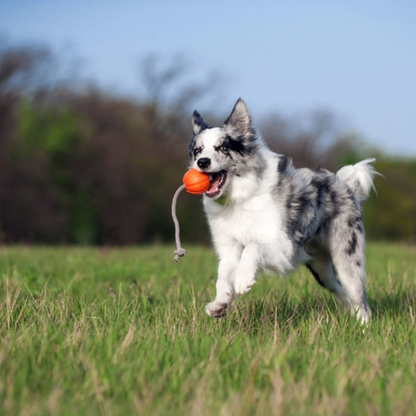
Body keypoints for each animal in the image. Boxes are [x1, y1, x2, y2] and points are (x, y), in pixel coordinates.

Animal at [190, 99, 378, 324]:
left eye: (223, 147)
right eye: (198, 150)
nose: (202, 162)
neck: (238, 199)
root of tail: (347, 187)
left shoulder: (283, 247)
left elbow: (252, 247)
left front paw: (243, 279)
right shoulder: (229, 249)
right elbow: (223, 277)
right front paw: (220, 303)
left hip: (347, 260)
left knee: (360, 300)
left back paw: (363, 327)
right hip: (322, 270)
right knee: (341, 292)